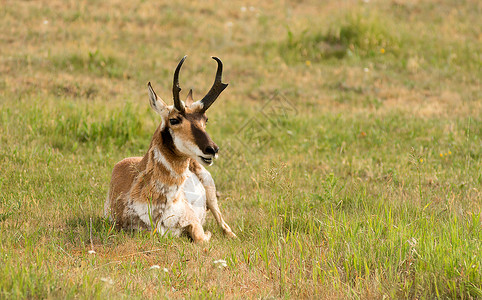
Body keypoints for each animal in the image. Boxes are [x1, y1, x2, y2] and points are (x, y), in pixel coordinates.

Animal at [103, 56, 235, 243]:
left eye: (205, 119)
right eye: (174, 120)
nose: (212, 149)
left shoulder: (194, 223)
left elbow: (200, 237)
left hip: (211, 190)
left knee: (223, 223)